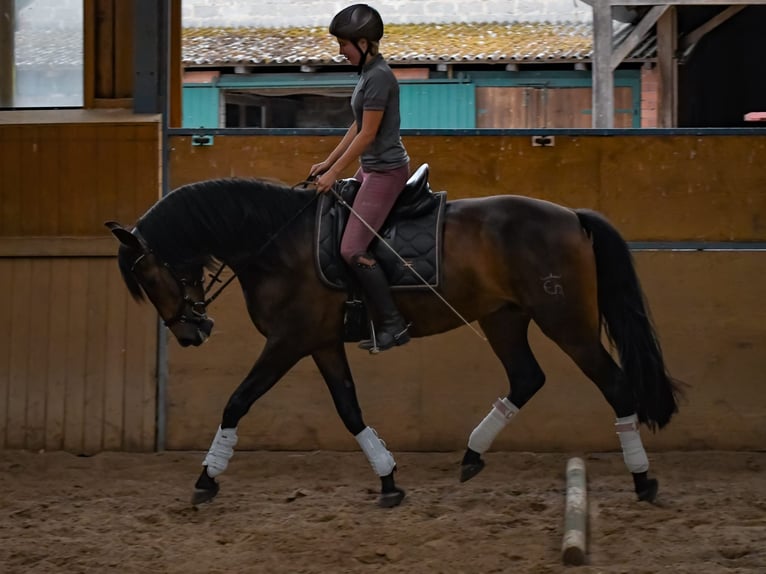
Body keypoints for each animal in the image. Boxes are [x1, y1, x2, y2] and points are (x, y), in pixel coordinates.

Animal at [106, 165, 684, 508]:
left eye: (148, 276)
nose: (191, 332)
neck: (277, 242)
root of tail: (571, 216)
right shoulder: (320, 342)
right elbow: (349, 410)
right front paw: (388, 479)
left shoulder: (288, 341)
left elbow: (237, 401)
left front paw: (206, 478)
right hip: (503, 317)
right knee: (526, 377)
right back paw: (471, 455)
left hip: (566, 321)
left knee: (615, 385)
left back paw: (642, 479)